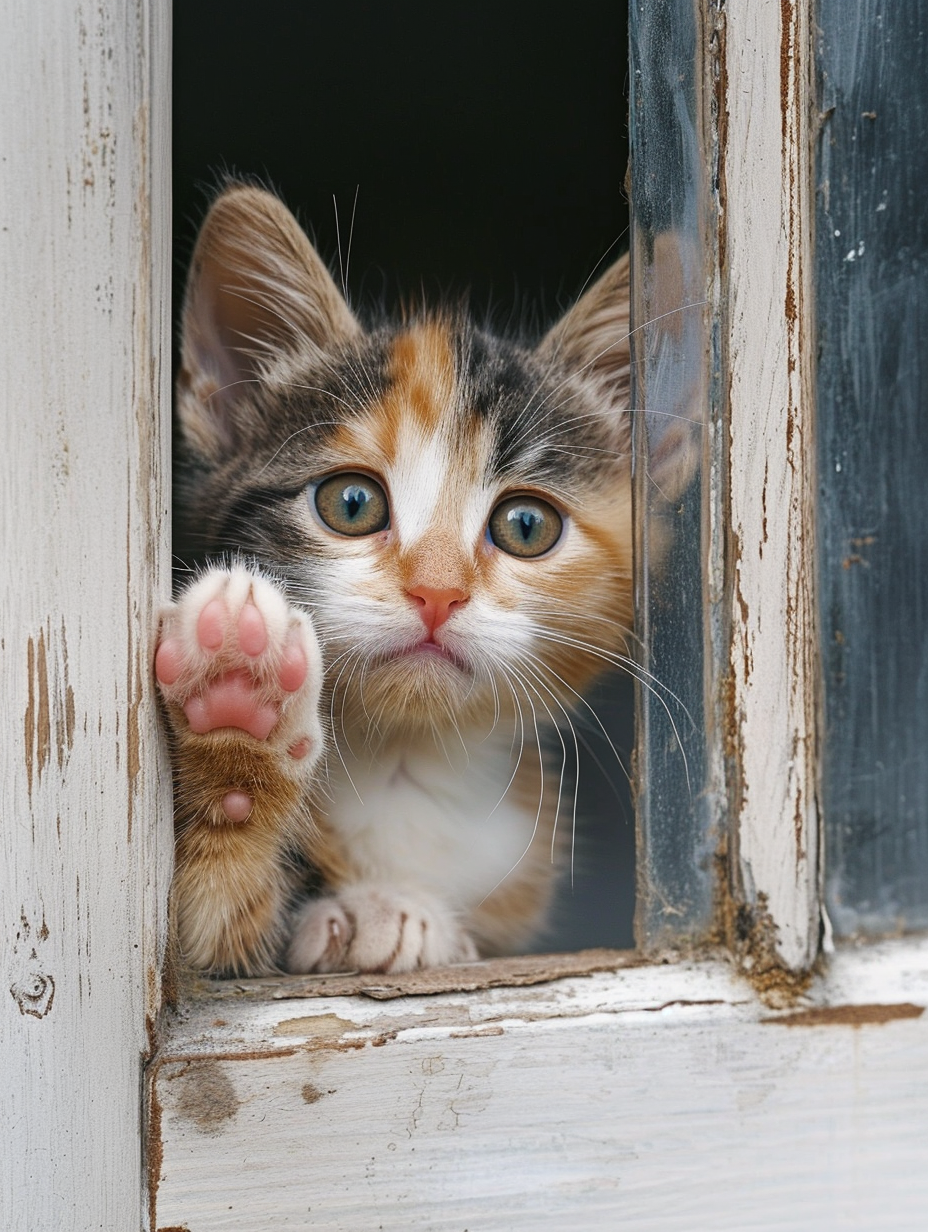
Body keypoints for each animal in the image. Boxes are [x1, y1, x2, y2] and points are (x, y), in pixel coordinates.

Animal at [155, 184, 635, 970]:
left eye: (526, 526)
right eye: (351, 504)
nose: (437, 593)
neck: (403, 764)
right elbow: (209, 925)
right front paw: (236, 696)